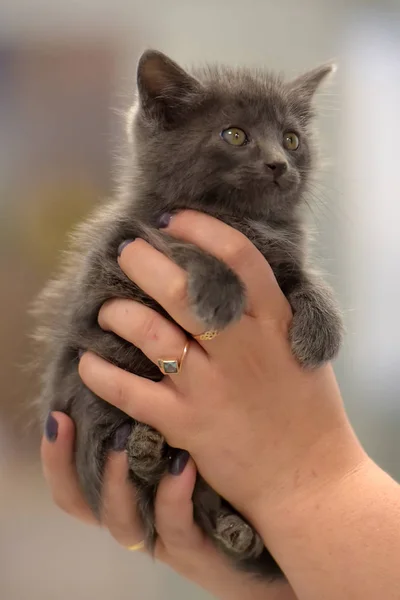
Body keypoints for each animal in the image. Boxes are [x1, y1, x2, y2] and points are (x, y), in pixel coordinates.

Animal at [32, 51, 342, 580]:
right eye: (234, 134)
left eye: (291, 139)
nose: (279, 164)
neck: (241, 219)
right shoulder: (125, 245)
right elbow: (178, 243)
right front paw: (220, 291)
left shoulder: (283, 253)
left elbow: (301, 275)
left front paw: (323, 327)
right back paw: (146, 454)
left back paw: (236, 533)